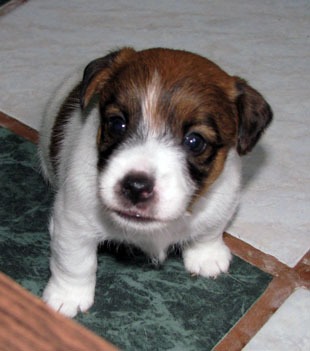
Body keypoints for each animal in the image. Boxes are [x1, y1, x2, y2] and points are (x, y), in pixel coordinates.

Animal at [38, 47, 272, 320]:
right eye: (117, 124)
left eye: (195, 141)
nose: (136, 187)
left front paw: (207, 255)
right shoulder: (73, 222)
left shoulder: (223, 200)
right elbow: (75, 263)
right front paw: (68, 296)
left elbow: (210, 230)